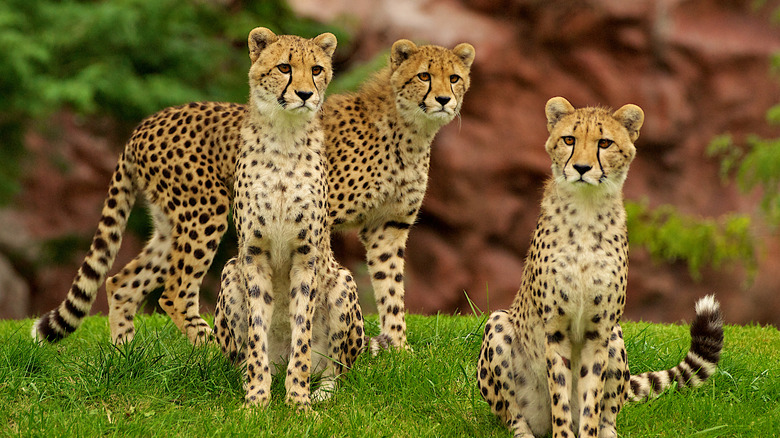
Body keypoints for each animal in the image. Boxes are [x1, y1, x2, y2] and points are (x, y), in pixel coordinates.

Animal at [32, 38, 476, 352]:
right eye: (424, 76)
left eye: (454, 77)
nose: (443, 99)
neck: (411, 131)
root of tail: (147, 122)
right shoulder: (320, 218)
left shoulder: (389, 228)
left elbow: (391, 289)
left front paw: (399, 348)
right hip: (206, 211)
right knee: (175, 290)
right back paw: (210, 345)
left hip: (169, 225)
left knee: (120, 281)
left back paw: (124, 354)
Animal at [476, 96, 724, 438]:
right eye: (569, 139)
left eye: (604, 143)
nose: (581, 168)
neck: (585, 210)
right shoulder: (555, 329)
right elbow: (561, 395)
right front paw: (564, 433)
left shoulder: (600, 330)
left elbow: (591, 398)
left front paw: (589, 430)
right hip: (498, 323)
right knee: (513, 414)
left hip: (616, 337)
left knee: (610, 412)